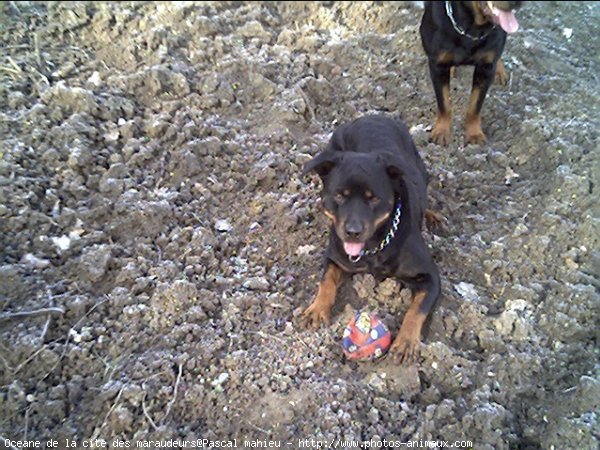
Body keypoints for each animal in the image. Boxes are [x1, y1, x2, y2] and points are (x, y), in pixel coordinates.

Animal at [300, 114, 440, 364]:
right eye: (339, 195)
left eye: (373, 198)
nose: (353, 231)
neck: (375, 246)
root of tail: (372, 115)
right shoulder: (335, 257)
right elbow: (326, 282)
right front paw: (317, 309)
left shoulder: (431, 276)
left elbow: (417, 309)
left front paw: (406, 341)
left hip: (419, 167)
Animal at [420, 0, 524, 145]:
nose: (518, 2)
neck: (473, 28)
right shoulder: (437, 66)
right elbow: (444, 103)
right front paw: (442, 131)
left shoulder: (485, 69)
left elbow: (475, 105)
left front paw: (474, 134)